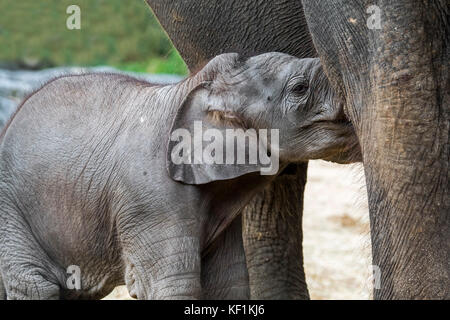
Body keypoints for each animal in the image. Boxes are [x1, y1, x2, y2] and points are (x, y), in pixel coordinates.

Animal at [0, 53, 358, 300]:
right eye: (300, 88)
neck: (193, 88)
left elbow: (228, 286)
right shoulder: (150, 200)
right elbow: (174, 287)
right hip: (12, 214)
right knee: (35, 286)